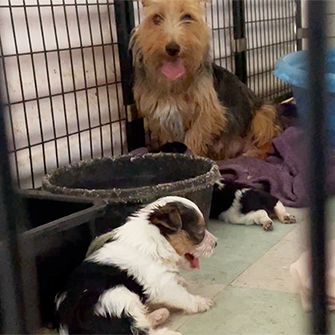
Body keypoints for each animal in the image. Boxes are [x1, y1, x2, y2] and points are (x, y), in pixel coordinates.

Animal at [55, 197, 218, 335]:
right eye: (200, 232)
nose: (216, 243)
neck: (156, 241)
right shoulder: (162, 284)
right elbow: (183, 296)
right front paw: (201, 302)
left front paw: (181, 281)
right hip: (119, 297)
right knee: (138, 331)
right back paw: (168, 331)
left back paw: (159, 314)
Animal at [130, 0, 282, 161]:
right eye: (156, 18)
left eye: (187, 17)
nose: (172, 48)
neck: (174, 84)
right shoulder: (163, 119)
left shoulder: (209, 113)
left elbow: (194, 137)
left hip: (264, 114)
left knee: (269, 143)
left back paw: (253, 153)